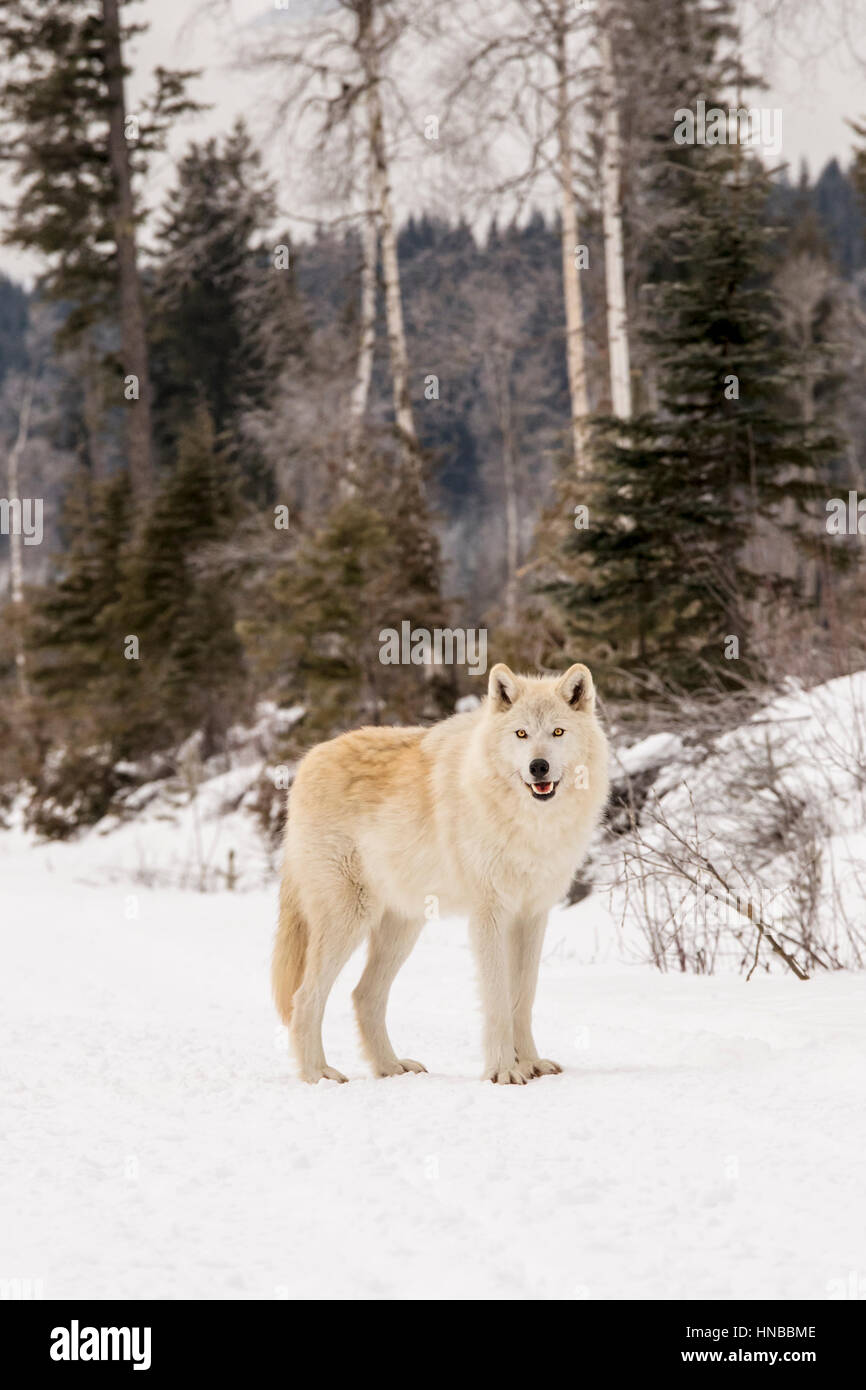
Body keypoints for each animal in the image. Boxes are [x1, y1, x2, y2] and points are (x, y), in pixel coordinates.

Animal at [272, 662, 609, 1084]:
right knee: (305, 997)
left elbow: (523, 997)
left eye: (558, 732)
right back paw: (318, 1074)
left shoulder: (532, 915)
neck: (529, 823)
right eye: (521, 734)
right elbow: (497, 1000)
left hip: (402, 928)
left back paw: (391, 1067)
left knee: (364, 995)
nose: (538, 767)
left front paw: (531, 1064)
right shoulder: (489, 916)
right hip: (348, 921)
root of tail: (306, 764)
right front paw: (503, 1070)